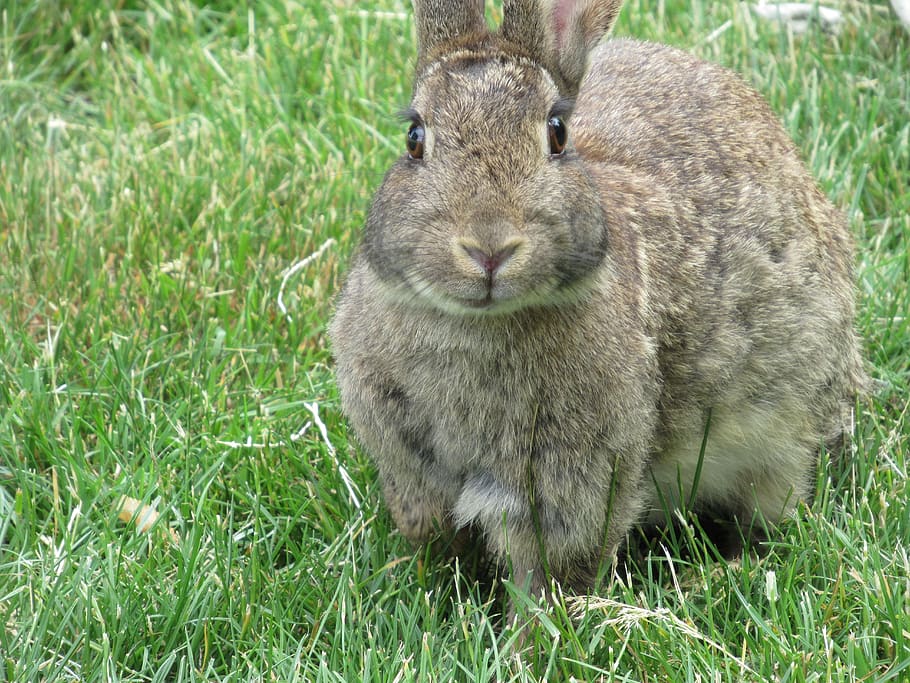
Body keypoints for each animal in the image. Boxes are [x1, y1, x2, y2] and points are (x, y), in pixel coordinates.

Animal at [329, 0, 866, 598]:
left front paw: (534, 626)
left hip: (787, 432)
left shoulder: (573, 481)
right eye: (415, 138)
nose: (489, 247)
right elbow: (431, 533)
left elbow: (553, 572)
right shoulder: (410, 467)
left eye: (557, 134)